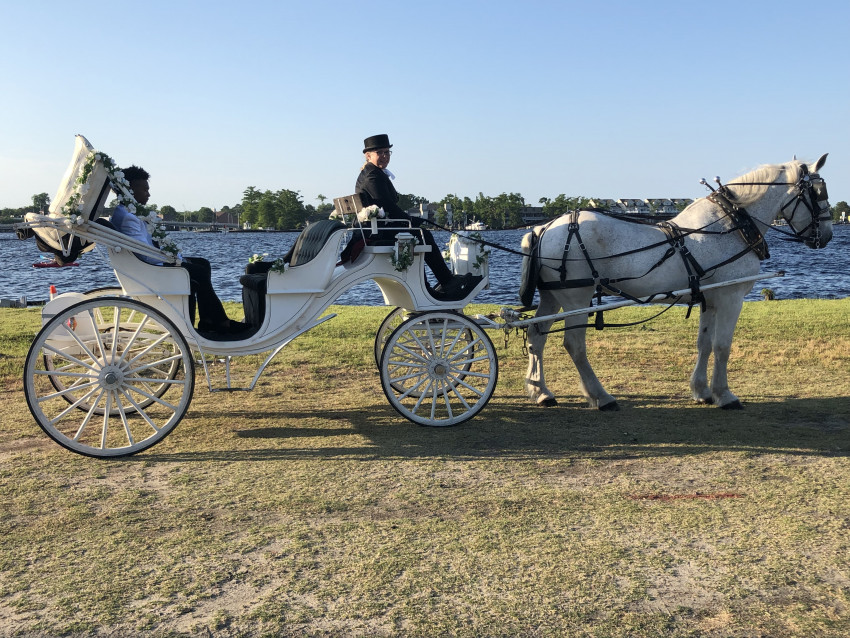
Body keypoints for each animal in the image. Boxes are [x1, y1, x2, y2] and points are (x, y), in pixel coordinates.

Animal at [522, 154, 832, 410]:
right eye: (818, 192)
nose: (827, 236)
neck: (729, 225)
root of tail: (543, 227)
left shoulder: (710, 298)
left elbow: (704, 343)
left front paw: (702, 391)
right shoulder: (730, 297)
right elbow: (723, 346)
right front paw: (725, 395)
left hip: (553, 296)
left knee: (536, 335)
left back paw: (541, 392)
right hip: (577, 297)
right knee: (574, 345)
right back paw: (601, 397)